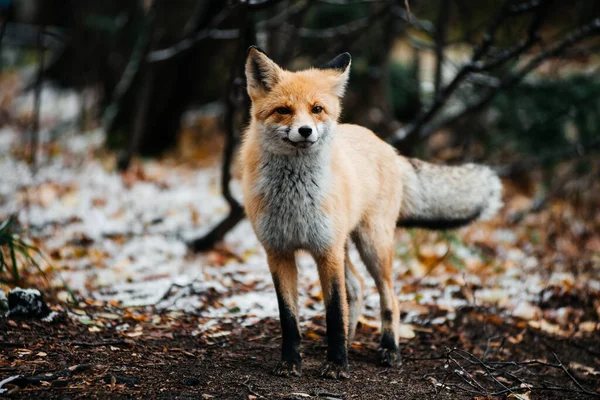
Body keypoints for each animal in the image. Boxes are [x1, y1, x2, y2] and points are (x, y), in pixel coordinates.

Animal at [239, 46, 502, 378]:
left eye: (316, 109)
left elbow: (334, 312)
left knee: (389, 297)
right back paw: (349, 343)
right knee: (357, 287)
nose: (305, 131)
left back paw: (389, 349)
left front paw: (337, 364)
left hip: (372, 245)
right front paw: (291, 362)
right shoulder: (278, 252)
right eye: (284, 110)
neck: (293, 196)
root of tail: (387, 146)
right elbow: (289, 319)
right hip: (345, 245)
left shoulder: (326, 250)